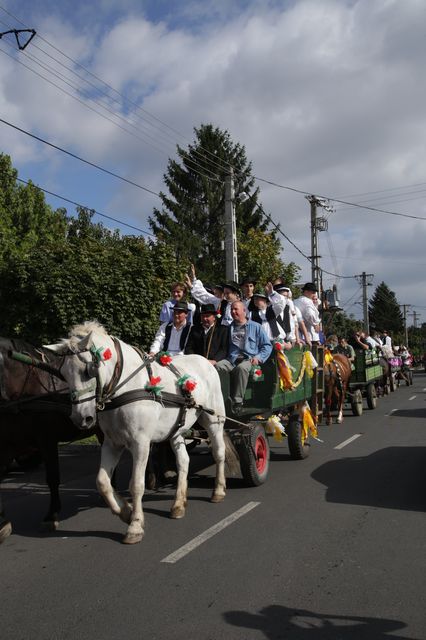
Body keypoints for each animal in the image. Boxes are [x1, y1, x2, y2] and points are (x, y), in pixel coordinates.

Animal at [46, 322, 231, 544]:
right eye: (63, 374)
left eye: (88, 370)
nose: (81, 418)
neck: (124, 388)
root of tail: (204, 360)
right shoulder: (112, 443)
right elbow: (102, 482)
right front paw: (125, 512)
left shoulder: (140, 444)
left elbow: (136, 484)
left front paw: (134, 525)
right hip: (176, 431)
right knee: (183, 461)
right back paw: (178, 504)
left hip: (213, 421)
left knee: (219, 453)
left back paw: (218, 490)